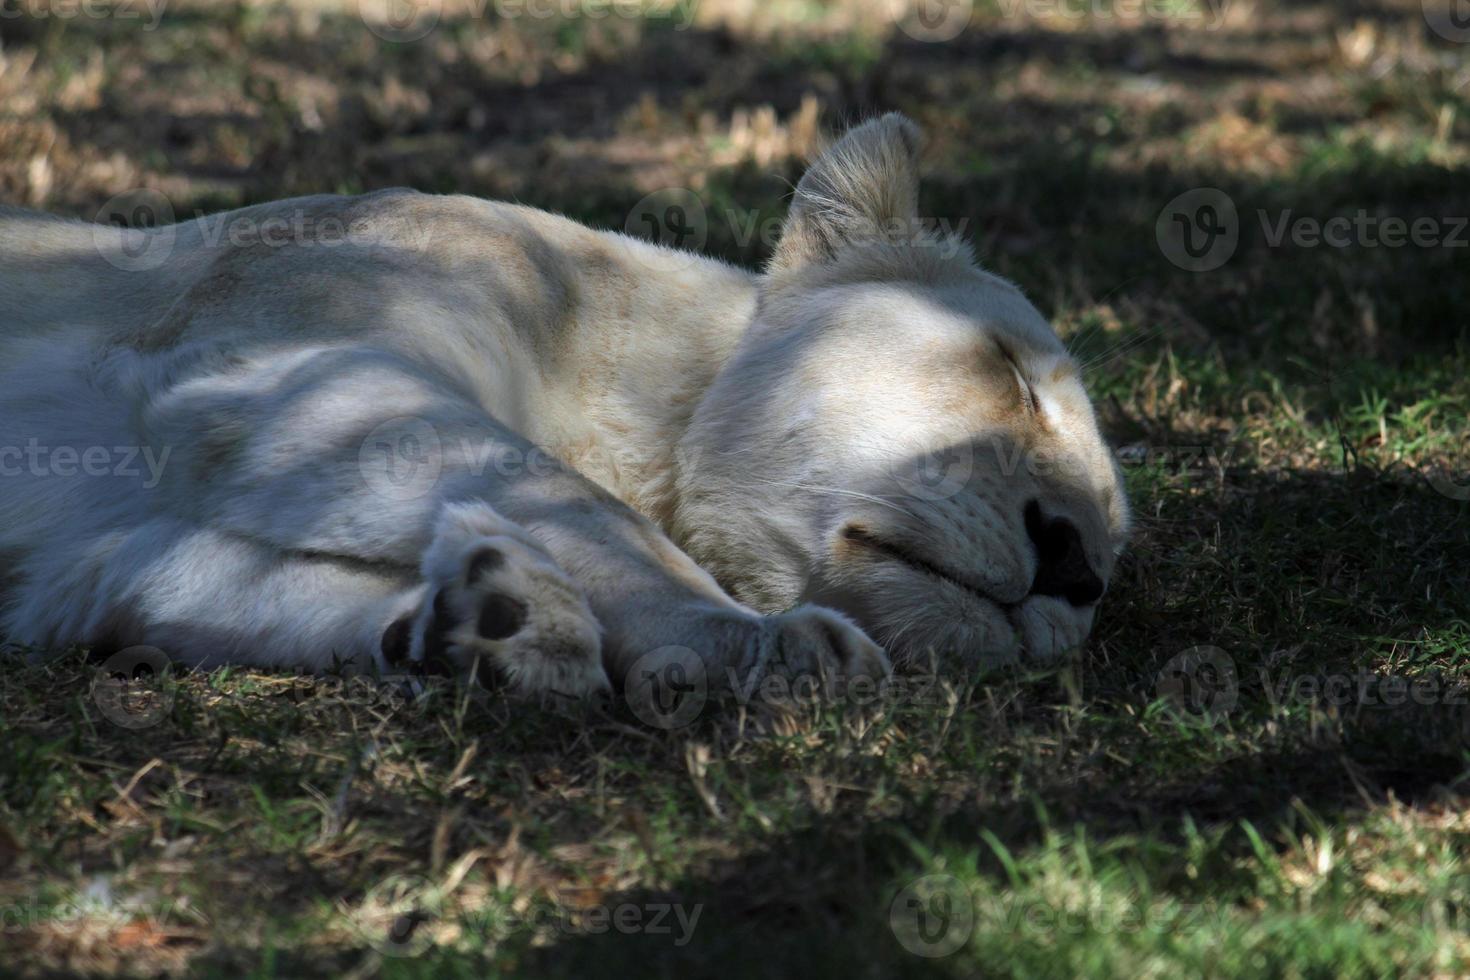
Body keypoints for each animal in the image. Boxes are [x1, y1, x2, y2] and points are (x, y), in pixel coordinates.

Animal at [0, 115, 1123, 696]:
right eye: (1012, 377)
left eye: (1116, 549)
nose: (1073, 565)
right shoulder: (273, 363)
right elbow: (583, 506)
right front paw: (777, 647)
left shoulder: (101, 559)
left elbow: (208, 583)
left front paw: (480, 626)